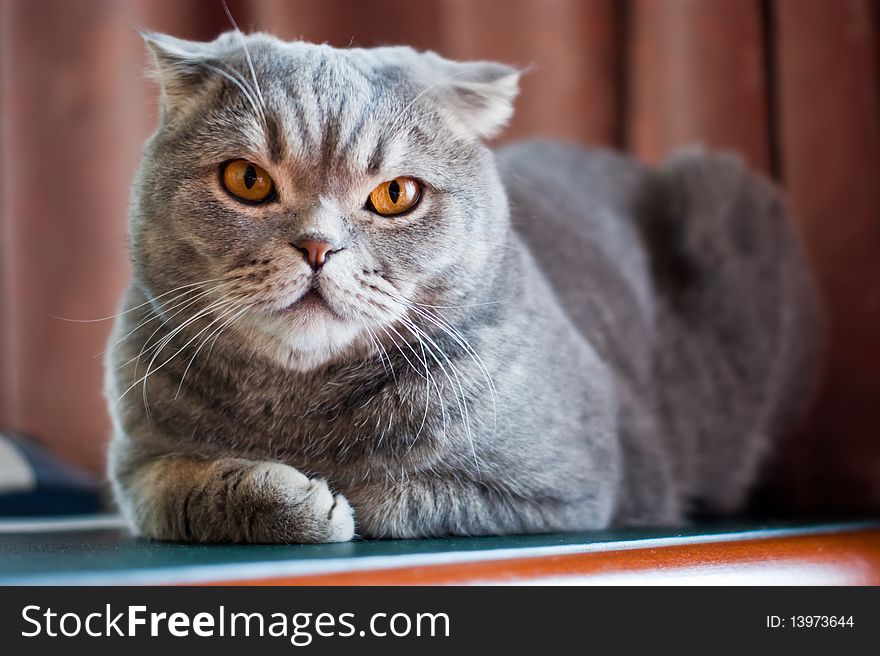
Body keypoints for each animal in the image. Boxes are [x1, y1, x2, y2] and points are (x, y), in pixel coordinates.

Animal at [105, 30, 824, 544]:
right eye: (247, 181)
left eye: (395, 195)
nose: (317, 246)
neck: (295, 404)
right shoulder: (137, 461)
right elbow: (182, 490)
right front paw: (284, 497)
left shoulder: (569, 488)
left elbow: (394, 492)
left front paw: (331, 491)